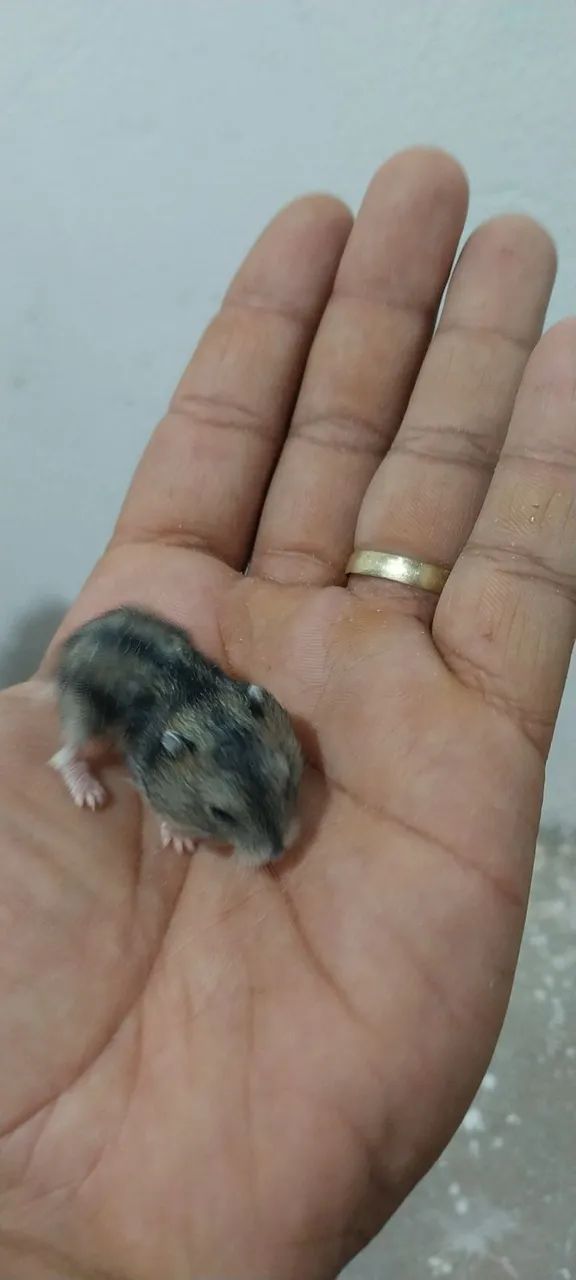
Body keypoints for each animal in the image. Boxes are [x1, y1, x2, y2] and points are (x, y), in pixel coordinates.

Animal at [50, 605, 303, 865]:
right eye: (220, 814)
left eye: (287, 783)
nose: (279, 853)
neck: (203, 705)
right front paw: (182, 843)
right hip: (81, 710)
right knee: (63, 756)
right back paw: (91, 795)